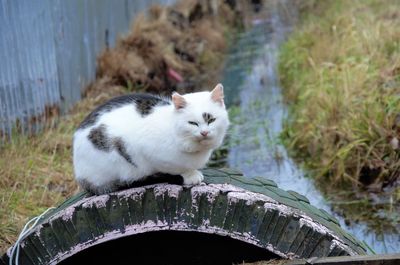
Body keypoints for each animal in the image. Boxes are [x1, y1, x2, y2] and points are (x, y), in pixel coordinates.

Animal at [72, 83, 228, 193]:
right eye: (193, 123)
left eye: (211, 120)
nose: (204, 133)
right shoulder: (149, 153)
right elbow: (176, 168)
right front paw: (190, 175)